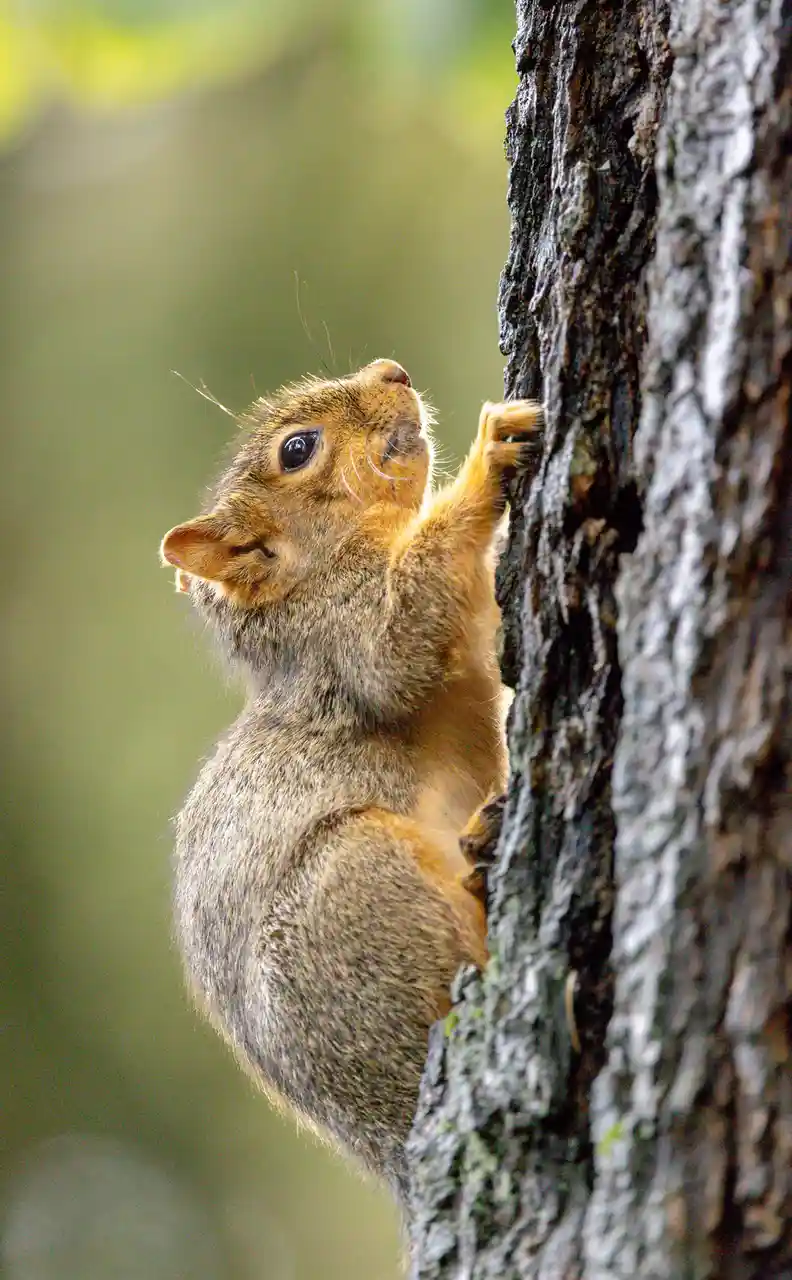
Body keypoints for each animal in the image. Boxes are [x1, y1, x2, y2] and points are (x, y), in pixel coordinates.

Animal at [159, 358, 542, 1207]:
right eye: (297, 450)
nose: (391, 371)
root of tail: (389, 1149)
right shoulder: (350, 634)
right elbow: (401, 640)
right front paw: (489, 459)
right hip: (355, 892)